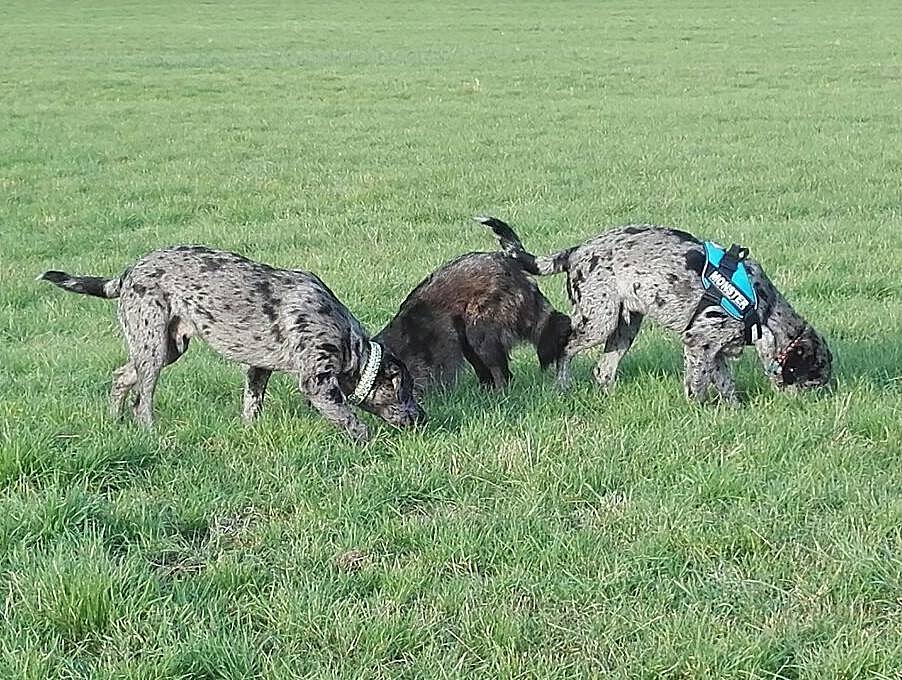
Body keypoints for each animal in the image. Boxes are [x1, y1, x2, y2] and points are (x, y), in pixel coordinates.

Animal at [38, 244, 428, 440]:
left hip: (166, 349)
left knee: (120, 378)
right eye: (408, 392)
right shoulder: (317, 383)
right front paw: (367, 443)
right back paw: (148, 432)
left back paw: (114, 421)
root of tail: (128, 272)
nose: (422, 419)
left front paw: (249, 434)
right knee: (141, 401)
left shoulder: (258, 369)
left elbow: (251, 406)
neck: (349, 343)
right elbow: (351, 420)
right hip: (152, 348)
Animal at [484, 216, 836, 404]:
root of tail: (576, 251)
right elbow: (696, 387)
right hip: (598, 321)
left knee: (603, 371)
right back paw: (562, 386)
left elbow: (726, 386)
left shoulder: (716, 353)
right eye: (815, 379)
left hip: (625, 328)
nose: (822, 398)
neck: (764, 309)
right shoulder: (697, 344)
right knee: (564, 349)